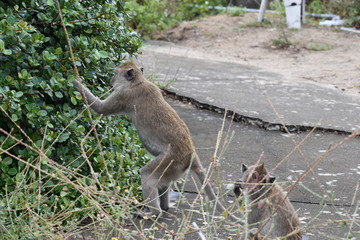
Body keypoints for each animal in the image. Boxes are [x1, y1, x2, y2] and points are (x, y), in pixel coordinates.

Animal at [73, 61, 242, 222]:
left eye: (115, 73)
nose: (111, 81)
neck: (138, 82)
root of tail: (191, 154)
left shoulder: (123, 95)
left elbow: (100, 108)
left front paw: (76, 83)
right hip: (173, 168)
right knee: (162, 181)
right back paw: (165, 206)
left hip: (171, 161)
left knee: (148, 176)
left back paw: (154, 212)